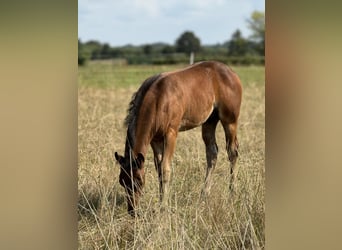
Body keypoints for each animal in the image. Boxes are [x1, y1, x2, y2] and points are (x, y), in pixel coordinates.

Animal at [113, 61, 242, 217]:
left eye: (139, 180)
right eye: (122, 181)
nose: (132, 211)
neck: (158, 98)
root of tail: (230, 72)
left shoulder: (171, 133)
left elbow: (165, 169)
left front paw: (163, 207)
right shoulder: (155, 140)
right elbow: (159, 170)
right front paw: (162, 202)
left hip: (230, 120)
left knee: (232, 152)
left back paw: (232, 193)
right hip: (209, 121)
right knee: (212, 153)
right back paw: (204, 195)